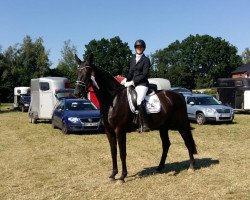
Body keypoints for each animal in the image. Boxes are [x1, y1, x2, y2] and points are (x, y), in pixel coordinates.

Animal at [74, 53, 197, 183]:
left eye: (88, 71)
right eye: (78, 71)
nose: (77, 93)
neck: (113, 99)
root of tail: (179, 95)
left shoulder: (120, 130)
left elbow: (122, 153)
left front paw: (122, 177)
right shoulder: (109, 131)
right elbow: (113, 152)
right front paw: (113, 174)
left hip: (181, 125)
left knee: (187, 142)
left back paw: (191, 167)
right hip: (163, 127)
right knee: (166, 144)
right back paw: (160, 167)